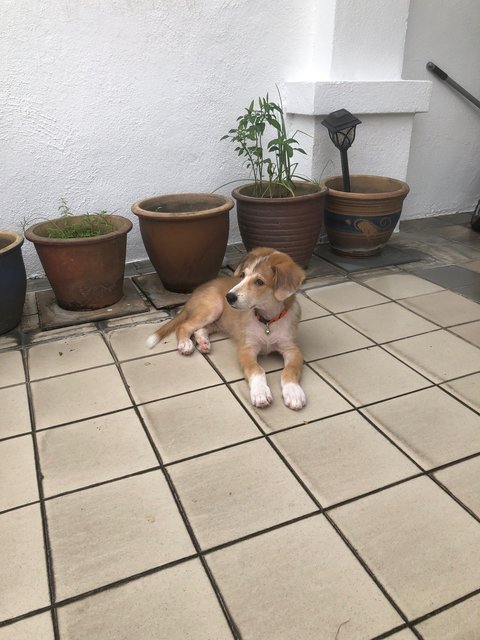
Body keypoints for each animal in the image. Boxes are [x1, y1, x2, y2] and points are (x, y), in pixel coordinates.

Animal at [146, 246, 306, 410]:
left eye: (259, 282)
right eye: (242, 275)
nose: (228, 297)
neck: (267, 321)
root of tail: (193, 294)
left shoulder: (292, 349)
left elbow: (290, 370)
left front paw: (293, 392)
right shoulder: (246, 348)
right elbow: (257, 370)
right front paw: (260, 392)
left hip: (219, 319)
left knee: (200, 329)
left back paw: (203, 342)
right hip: (213, 307)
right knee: (184, 326)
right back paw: (185, 344)